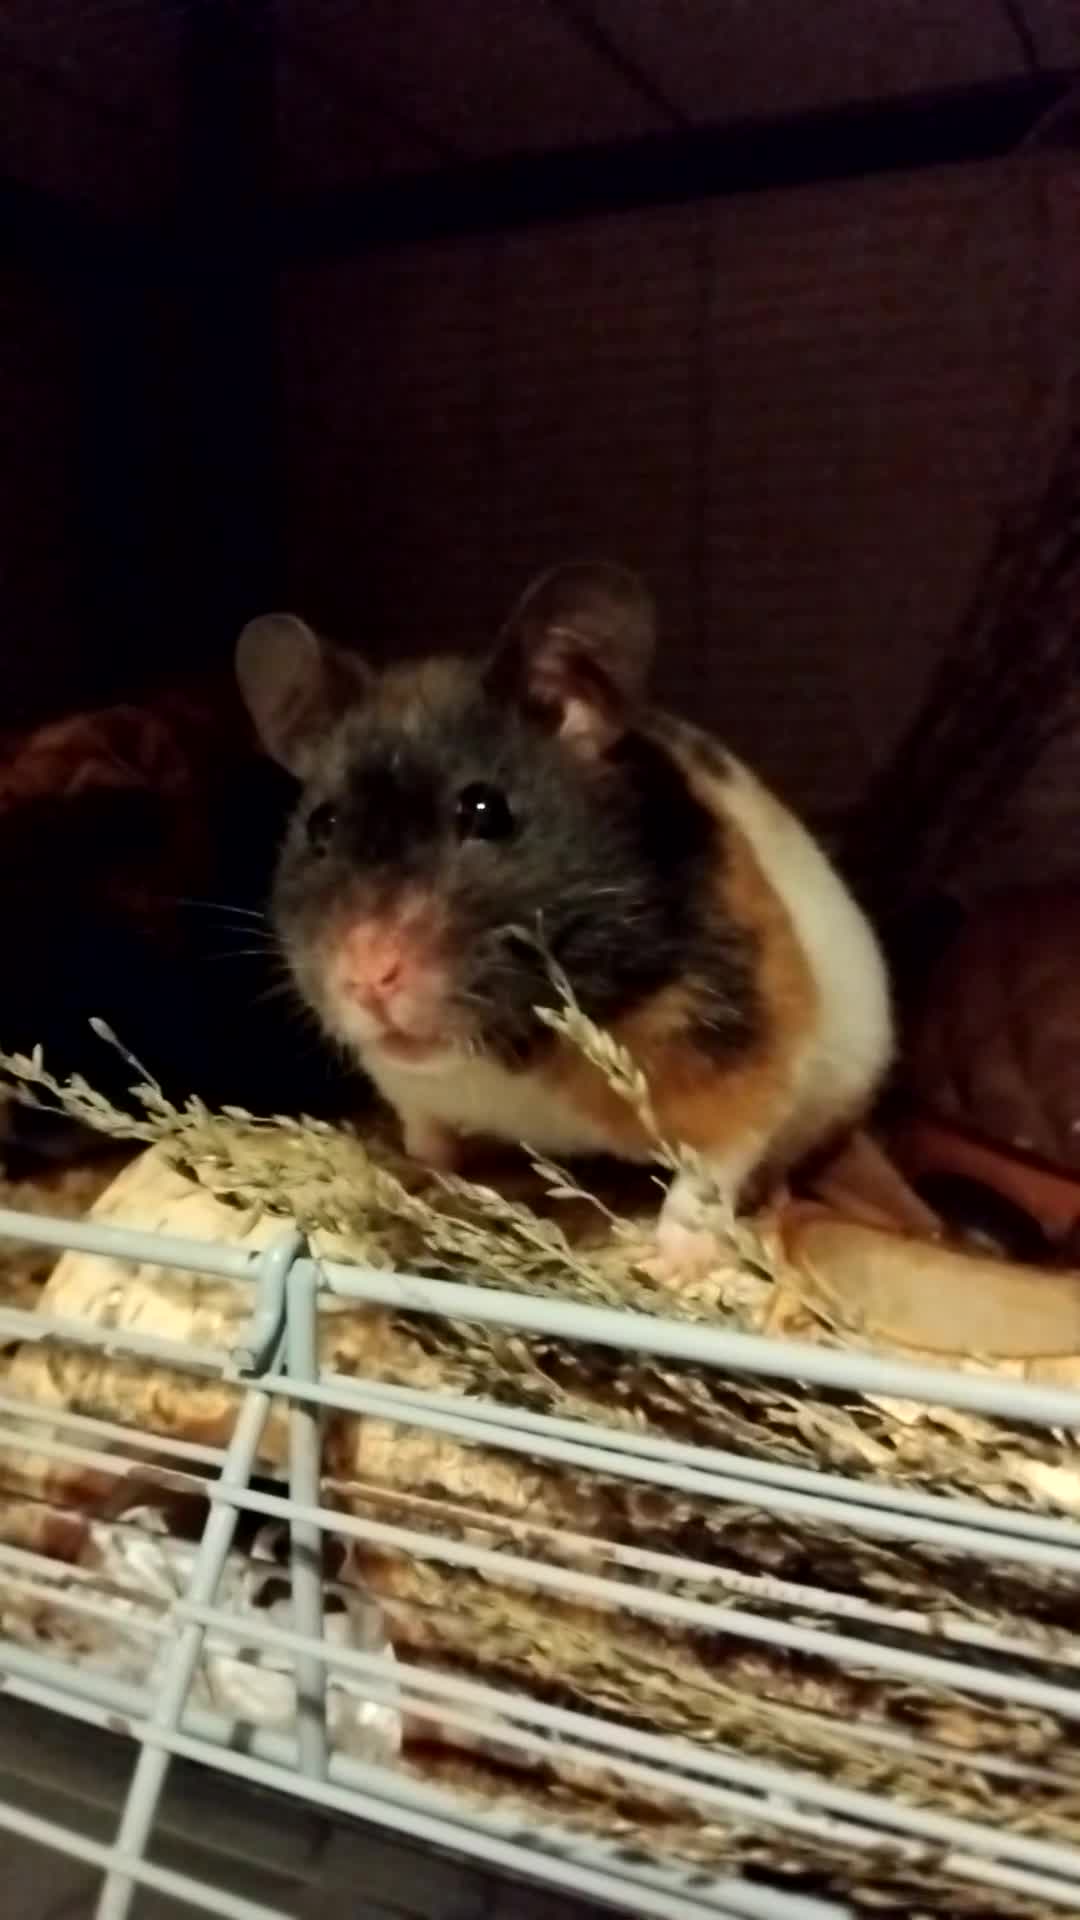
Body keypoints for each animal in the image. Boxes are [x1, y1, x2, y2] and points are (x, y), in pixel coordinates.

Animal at [235, 564, 893, 1270]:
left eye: (486, 811)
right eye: (321, 825)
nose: (366, 978)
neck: (507, 1046)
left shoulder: (746, 1053)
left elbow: (706, 1174)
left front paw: (665, 1264)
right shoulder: (412, 1091)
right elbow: (428, 1136)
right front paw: (411, 1176)